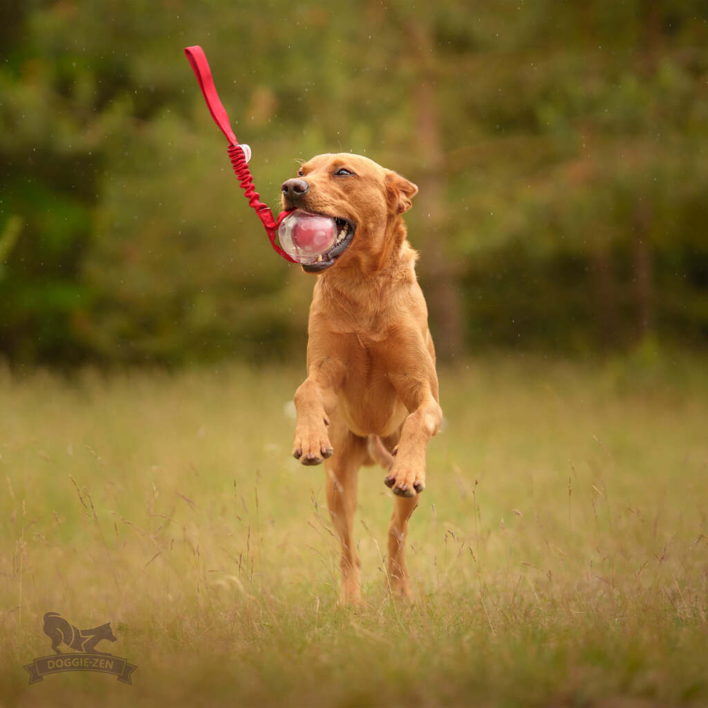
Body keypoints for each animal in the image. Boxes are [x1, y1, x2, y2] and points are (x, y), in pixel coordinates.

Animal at [282, 155, 442, 604]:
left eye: (342, 172)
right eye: (302, 170)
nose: (290, 187)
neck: (361, 284)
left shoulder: (424, 392)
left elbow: (419, 418)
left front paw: (407, 468)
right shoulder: (325, 370)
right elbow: (305, 390)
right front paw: (308, 438)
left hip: (403, 495)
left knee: (395, 533)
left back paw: (400, 592)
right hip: (338, 484)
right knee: (347, 548)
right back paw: (351, 601)